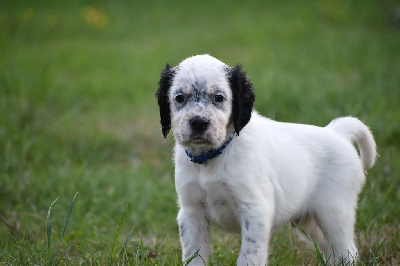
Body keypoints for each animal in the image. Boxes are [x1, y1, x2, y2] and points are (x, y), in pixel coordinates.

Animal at [155, 54, 376, 266]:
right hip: (308, 220)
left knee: (347, 252)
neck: (211, 158)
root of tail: (337, 132)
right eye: (179, 98)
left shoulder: (255, 210)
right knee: (330, 251)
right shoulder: (191, 212)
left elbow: (249, 257)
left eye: (218, 97)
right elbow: (194, 256)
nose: (199, 122)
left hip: (334, 212)